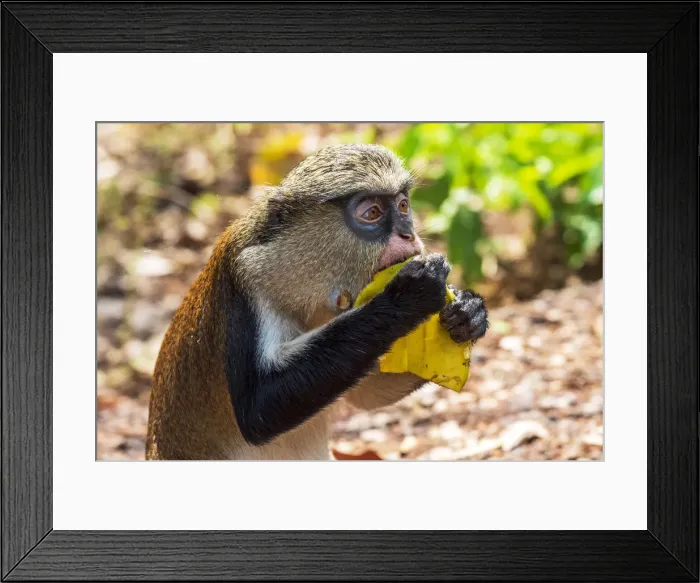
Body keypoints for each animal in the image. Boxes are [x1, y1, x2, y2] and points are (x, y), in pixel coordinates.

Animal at [146, 144, 488, 460]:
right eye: (372, 213)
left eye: (403, 206)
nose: (407, 234)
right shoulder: (245, 283)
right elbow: (258, 409)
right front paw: (406, 297)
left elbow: (367, 395)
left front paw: (469, 312)